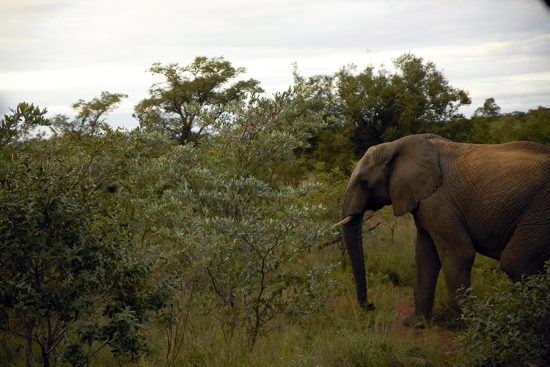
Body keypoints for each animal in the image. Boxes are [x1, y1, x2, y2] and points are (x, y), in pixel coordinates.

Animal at [340, 134, 550, 324]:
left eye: (363, 182)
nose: (371, 306)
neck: (396, 145)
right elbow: (425, 256)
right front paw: (416, 324)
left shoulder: (438, 202)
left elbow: (459, 254)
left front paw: (467, 327)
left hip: (541, 209)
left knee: (515, 262)